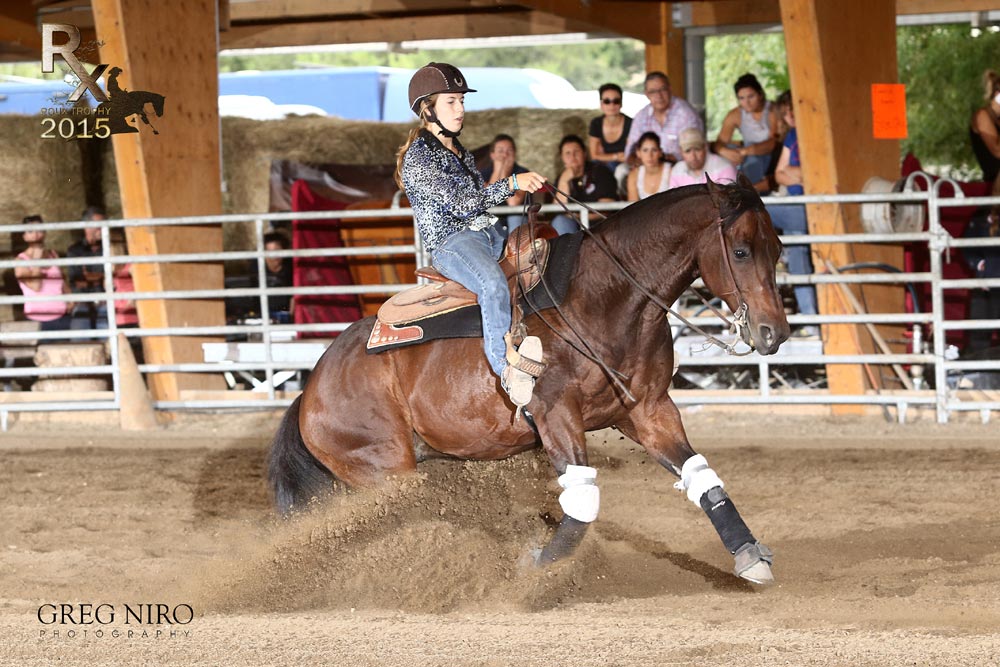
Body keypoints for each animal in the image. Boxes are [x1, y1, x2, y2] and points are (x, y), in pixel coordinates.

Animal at [270, 176, 792, 584]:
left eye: (778, 248)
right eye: (741, 250)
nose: (775, 333)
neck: (603, 298)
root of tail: (313, 386)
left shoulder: (647, 410)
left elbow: (702, 477)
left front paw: (750, 556)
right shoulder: (555, 414)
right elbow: (583, 501)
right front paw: (538, 569)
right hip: (384, 467)